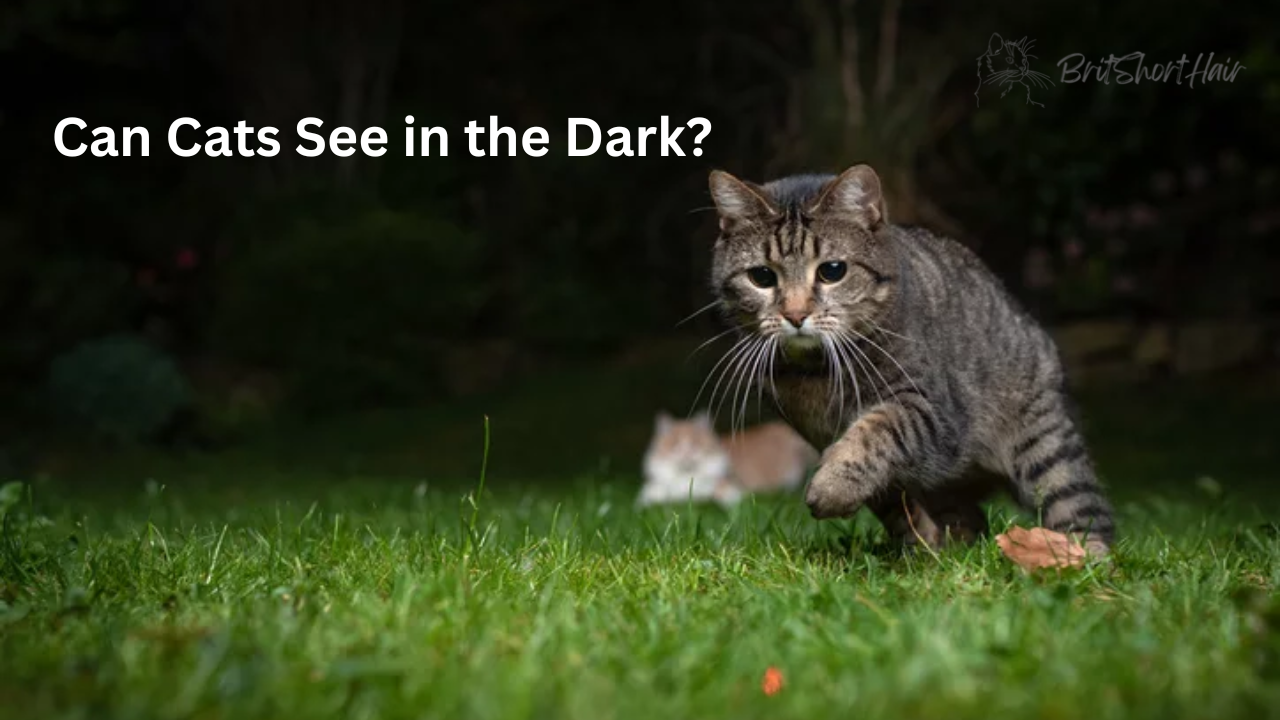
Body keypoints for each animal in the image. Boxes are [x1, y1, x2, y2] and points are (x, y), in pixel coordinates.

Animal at [640, 409, 819, 504]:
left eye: (696, 443)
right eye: (674, 445)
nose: (686, 455)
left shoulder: (730, 483)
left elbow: (717, 492)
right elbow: (652, 493)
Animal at [706, 163, 1116, 548]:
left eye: (832, 271)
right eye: (761, 277)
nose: (794, 315)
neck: (817, 373)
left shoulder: (934, 411)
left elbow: (878, 430)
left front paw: (833, 487)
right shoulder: (821, 434)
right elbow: (892, 501)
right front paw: (918, 545)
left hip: (1047, 446)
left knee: (1085, 513)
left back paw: (1081, 558)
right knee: (969, 520)